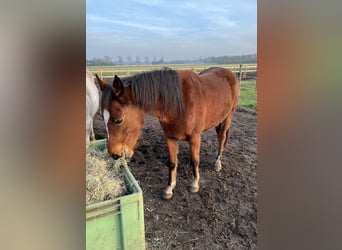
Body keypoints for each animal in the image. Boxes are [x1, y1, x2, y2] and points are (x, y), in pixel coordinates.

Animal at [95, 67, 239, 199]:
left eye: (119, 120)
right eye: (102, 117)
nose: (114, 154)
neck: (180, 104)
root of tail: (228, 72)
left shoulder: (195, 137)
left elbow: (194, 161)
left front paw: (194, 184)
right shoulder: (170, 137)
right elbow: (172, 162)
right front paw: (169, 188)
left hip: (228, 117)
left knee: (221, 138)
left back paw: (218, 163)